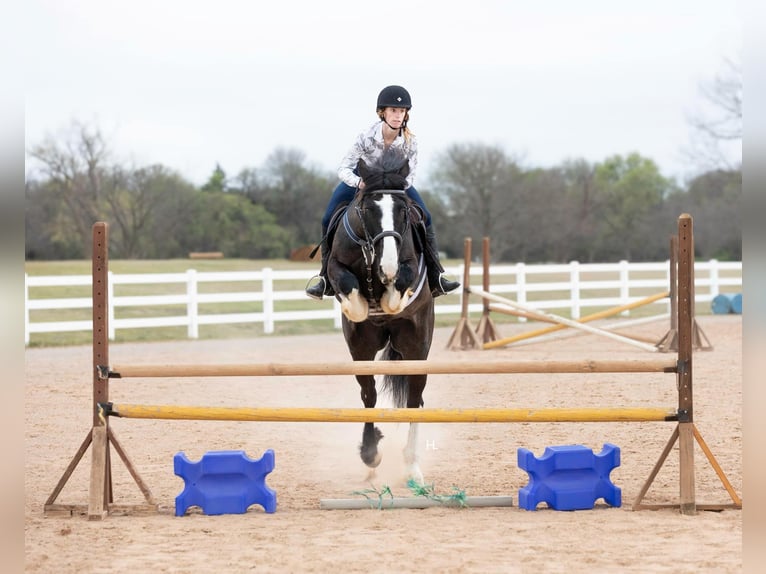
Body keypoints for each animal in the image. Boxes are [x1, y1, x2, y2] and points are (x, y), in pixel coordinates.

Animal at [325, 148, 435, 484]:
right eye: (368, 209)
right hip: (361, 352)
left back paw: (412, 467)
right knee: (369, 395)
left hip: (416, 349)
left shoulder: (409, 265)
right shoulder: (336, 267)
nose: (387, 266)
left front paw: (389, 300)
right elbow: (347, 284)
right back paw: (370, 457)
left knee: (414, 400)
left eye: (403, 211)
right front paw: (359, 307)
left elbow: (402, 282)